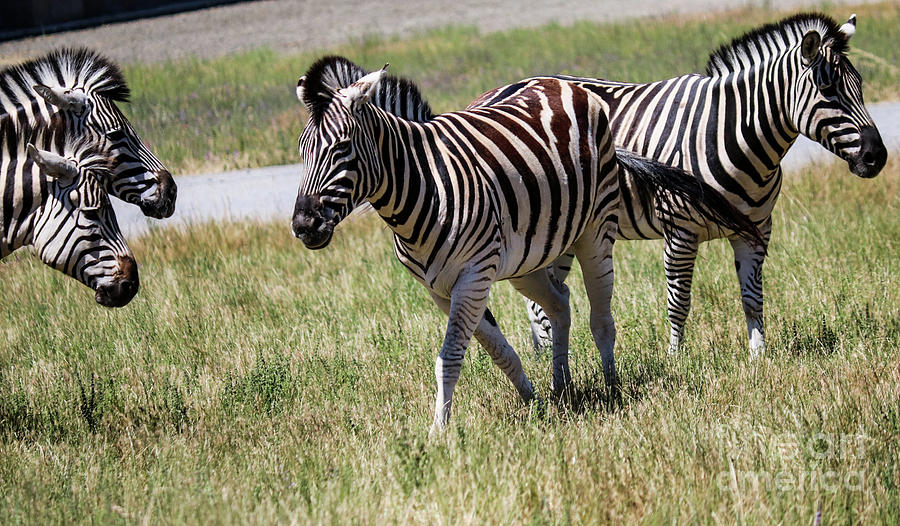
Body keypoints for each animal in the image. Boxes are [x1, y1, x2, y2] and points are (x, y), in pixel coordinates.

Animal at [292, 56, 764, 434]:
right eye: (301, 150)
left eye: (343, 147)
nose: (302, 225)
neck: (426, 183)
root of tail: (563, 84)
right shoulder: (440, 288)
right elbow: (498, 350)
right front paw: (532, 402)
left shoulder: (473, 274)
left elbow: (449, 357)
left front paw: (437, 434)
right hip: (528, 261)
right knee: (560, 304)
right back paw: (561, 387)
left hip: (596, 231)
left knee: (601, 319)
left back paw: (612, 389)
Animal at [492, 12, 892, 358]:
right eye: (828, 90)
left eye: (860, 85)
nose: (877, 156)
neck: (737, 135)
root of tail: (503, 88)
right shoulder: (680, 231)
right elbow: (679, 300)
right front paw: (675, 358)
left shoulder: (756, 230)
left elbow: (753, 298)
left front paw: (759, 358)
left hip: (564, 227)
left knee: (542, 296)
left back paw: (545, 355)